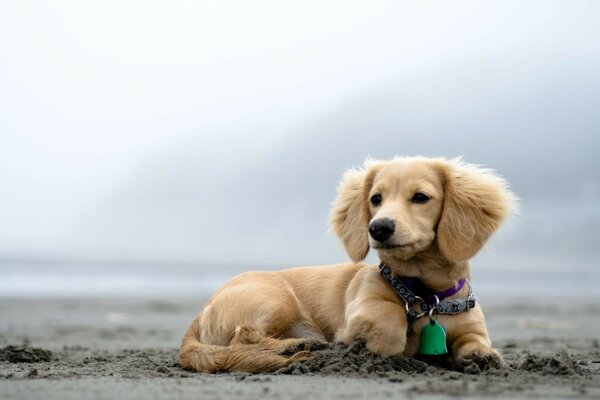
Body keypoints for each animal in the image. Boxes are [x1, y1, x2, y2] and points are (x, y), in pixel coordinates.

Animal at [178, 155, 516, 372]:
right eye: (376, 198)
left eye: (421, 197)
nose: (378, 228)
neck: (423, 293)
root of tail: (201, 312)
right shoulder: (361, 310)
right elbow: (390, 316)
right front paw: (382, 344)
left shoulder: (471, 326)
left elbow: (474, 340)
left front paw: (482, 356)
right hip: (276, 298)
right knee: (243, 339)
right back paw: (296, 347)